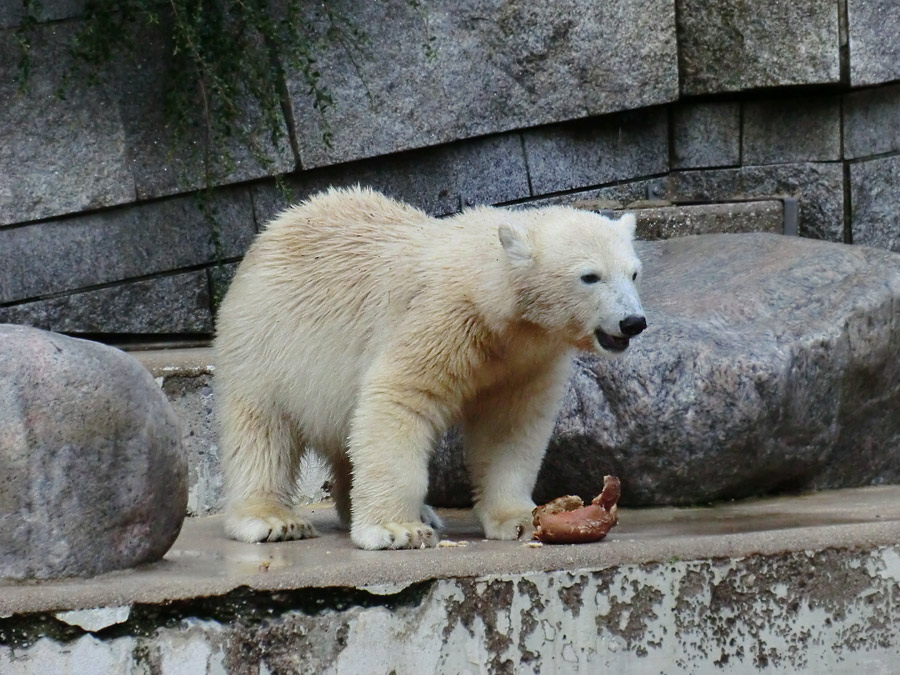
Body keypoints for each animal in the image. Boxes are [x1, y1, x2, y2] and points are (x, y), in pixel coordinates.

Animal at [214, 185, 644, 548]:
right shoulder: (438, 320)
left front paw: (520, 519)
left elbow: (509, 427)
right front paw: (395, 529)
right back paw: (273, 519)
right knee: (262, 430)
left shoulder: (525, 359)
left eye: (634, 272)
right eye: (590, 276)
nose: (633, 322)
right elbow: (400, 398)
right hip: (266, 341)